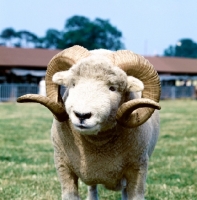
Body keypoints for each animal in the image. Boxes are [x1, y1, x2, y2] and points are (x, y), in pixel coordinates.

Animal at [17, 45, 161, 200]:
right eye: (73, 84)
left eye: (113, 88)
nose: (82, 115)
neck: (97, 144)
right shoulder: (64, 168)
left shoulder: (138, 169)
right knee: (92, 190)